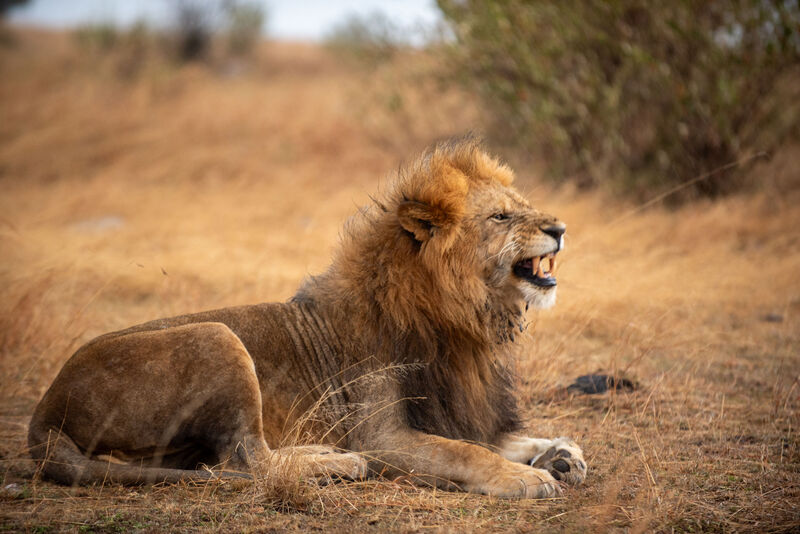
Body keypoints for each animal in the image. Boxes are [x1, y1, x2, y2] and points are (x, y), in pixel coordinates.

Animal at [28, 138, 587, 498]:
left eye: (524, 206)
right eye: (501, 217)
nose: (560, 229)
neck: (466, 320)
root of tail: (45, 412)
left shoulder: (461, 413)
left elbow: (510, 438)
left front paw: (559, 454)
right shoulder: (382, 437)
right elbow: (467, 453)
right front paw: (526, 477)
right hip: (218, 336)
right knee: (249, 460)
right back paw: (334, 463)